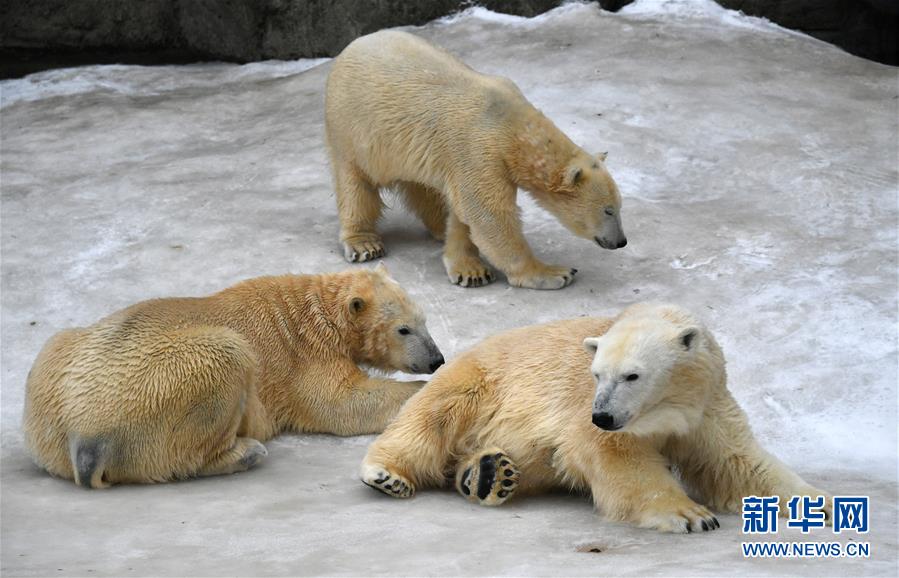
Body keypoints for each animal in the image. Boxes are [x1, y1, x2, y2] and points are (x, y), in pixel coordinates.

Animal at [27, 266, 446, 486]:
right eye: (404, 329)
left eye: (424, 320)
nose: (436, 359)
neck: (316, 310)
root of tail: (84, 437)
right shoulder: (303, 355)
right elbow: (340, 403)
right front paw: (422, 391)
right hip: (165, 383)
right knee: (224, 358)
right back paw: (246, 452)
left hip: (51, 383)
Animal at [362, 302, 832, 532]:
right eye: (597, 374)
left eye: (632, 374)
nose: (602, 416)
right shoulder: (584, 406)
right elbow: (615, 457)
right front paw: (691, 515)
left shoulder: (706, 404)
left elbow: (735, 460)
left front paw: (820, 503)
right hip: (481, 382)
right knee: (433, 416)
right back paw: (387, 473)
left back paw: (489, 474)